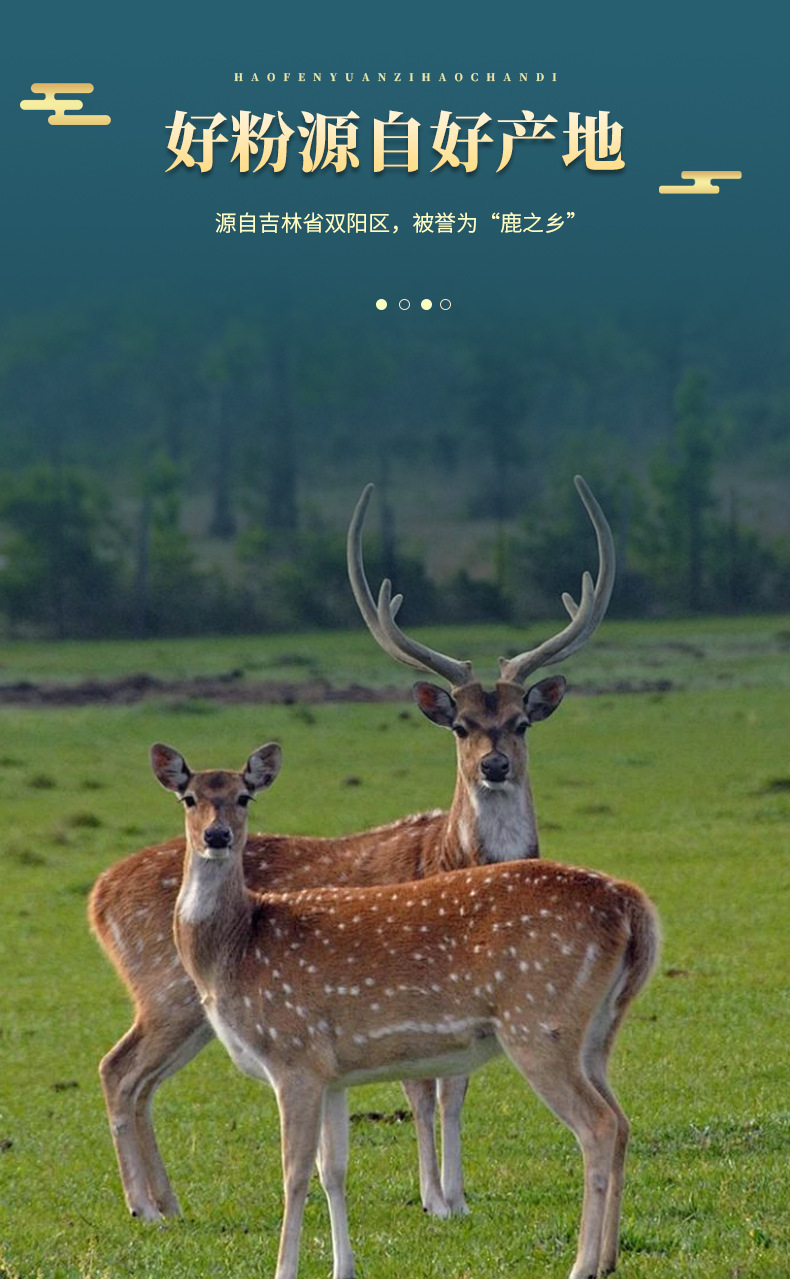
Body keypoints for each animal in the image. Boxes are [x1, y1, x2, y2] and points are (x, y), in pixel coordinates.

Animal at [88, 475, 615, 1225]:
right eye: (460, 723)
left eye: (520, 721)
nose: (494, 765)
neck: (452, 857)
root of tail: (98, 896)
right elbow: (424, 1088)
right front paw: (435, 1198)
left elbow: (455, 1085)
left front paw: (457, 1194)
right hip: (165, 991)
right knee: (118, 1067)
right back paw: (147, 1207)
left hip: (188, 1009)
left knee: (138, 1077)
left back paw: (167, 1202)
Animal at [153, 738, 659, 1279]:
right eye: (188, 797)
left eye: (244, 796)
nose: (217, 835)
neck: (236, 949)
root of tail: (634, 906)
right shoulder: (331, 1072)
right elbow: (333, 1169)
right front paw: (343, 1267)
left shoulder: (293, 1054)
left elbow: (294, 1173)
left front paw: (284, 1269)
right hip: (596, 1030)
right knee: (622, 1120)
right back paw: (608, 1258)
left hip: (538, 1021)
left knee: (598, 1125)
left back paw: (582, 1264)